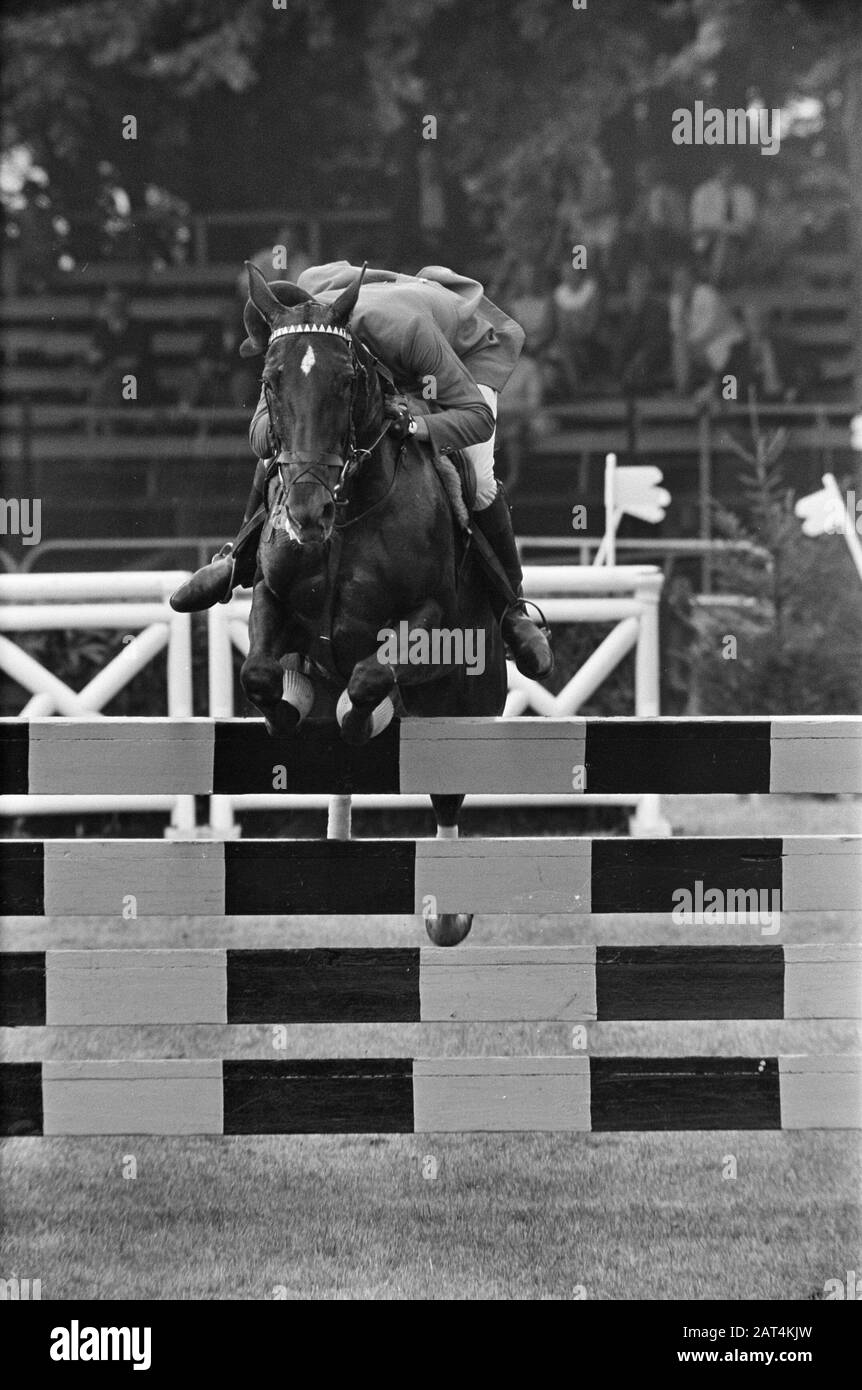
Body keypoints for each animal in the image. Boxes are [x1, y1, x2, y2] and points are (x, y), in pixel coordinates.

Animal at [239, 262, 508, 945]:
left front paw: (363, 719)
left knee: (448, 794)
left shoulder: (430, 620)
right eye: (270, 382)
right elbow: (259, 673)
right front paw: (285, 709)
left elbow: (367, 679)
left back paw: (448, 915)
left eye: (346, 381)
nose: (307, 512)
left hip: (468, 701)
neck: (349, 504)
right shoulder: (271, 597)